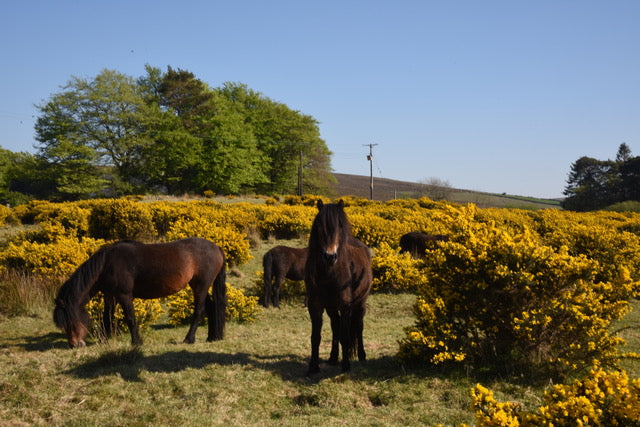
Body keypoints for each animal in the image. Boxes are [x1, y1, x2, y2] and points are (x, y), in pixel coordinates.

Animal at [53, 237, 227, 348]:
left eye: (70, 320)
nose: (74, 344)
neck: (107, 264)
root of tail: (216, 247)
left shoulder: (124, 295)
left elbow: (130, 318)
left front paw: (136, 342)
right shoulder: (110, 295)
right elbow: (107, 317)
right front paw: (106, 339)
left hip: (201, 286)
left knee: (199, 311)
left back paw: (189, 339)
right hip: (199, 286)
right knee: (211, 307)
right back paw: (212, 337)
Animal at [304, 200, 372, 375]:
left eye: (340, 226)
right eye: (319, 225)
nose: (330, 256)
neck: (329, 274)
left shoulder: (345, 306)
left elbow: (346, 336)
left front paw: (346, 366)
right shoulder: (316, 306)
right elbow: (316, 337)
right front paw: (313, 367)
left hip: (360, 304)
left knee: (359, 326)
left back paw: (362, 355)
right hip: (331, 307)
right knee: (335, 327)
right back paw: (333, 357)